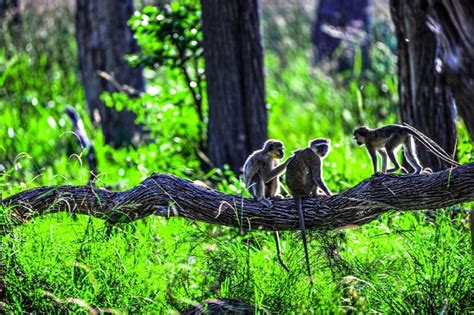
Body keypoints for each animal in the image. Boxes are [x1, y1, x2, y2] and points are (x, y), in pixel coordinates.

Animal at [243, 139, 294, 272]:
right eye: (280, 149)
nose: (282, 154)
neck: (268, 154)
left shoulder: (273, 160)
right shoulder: (265, 160)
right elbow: (265, 177)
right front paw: (288, 161)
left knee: (273, 178)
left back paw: (274, 197)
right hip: (254, 192)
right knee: (258, 176)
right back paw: (261, 199)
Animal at [286, 138, 334, 284]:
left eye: (325, 146)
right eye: (320, 147)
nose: (323, 151)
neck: (312, 150)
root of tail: (296, 192)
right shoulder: (315, 159)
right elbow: (317, 178)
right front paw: (329, 194)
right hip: (306, 187)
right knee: (312, 178)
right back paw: (315, 194)